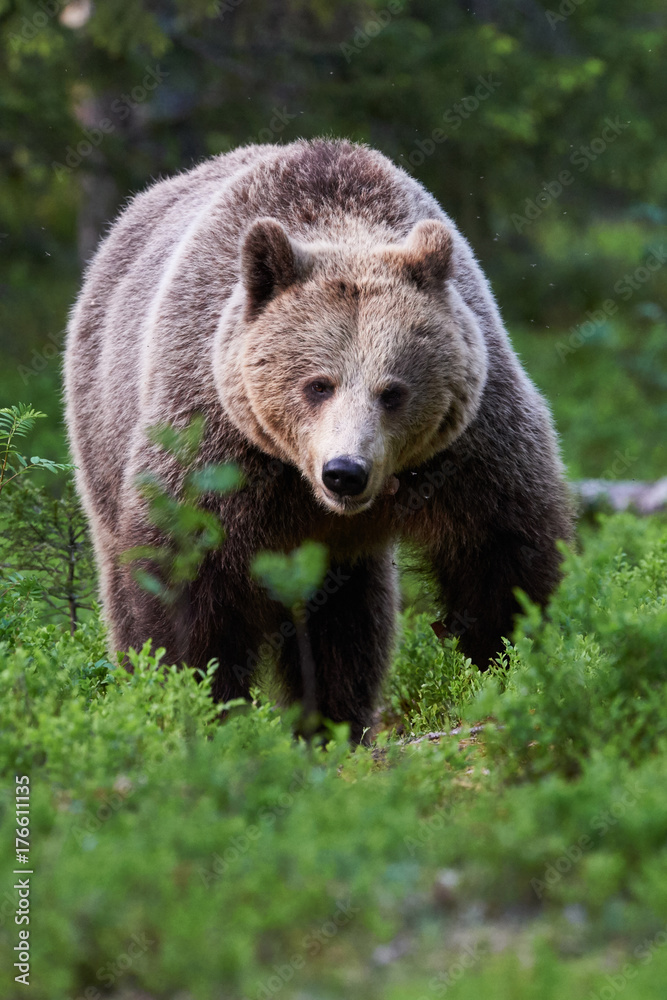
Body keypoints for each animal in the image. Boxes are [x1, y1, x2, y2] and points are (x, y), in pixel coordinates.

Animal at [64, 138, 573, 742]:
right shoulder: (215, 438)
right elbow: (185, 579)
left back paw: (335, 720)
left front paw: (509, 665)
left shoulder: (470, 443)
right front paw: (196, 702)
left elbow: (503, 553)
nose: (345, 472)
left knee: (349, 622)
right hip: (103, 425)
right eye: (317, 384)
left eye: (392, 391)